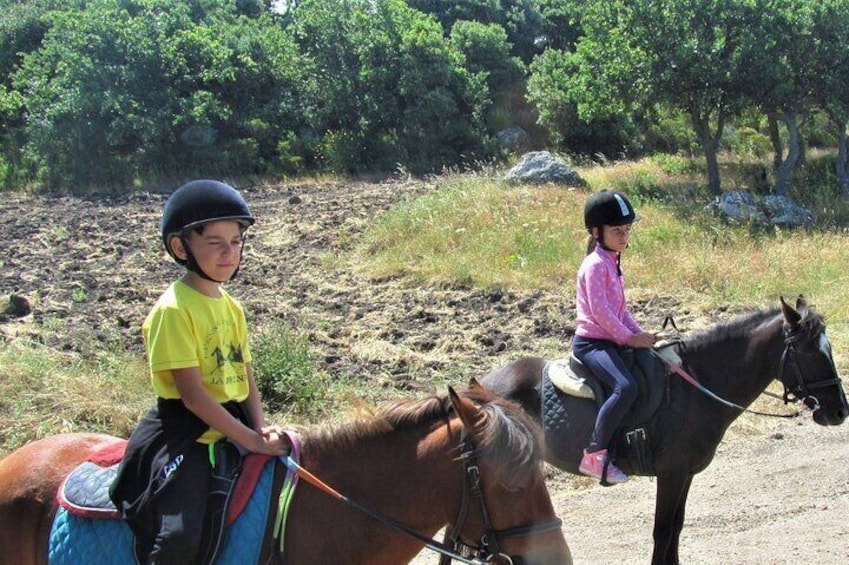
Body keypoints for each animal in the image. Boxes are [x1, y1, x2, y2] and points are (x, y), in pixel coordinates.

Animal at [480, 296, 844, 564]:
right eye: (810, 351)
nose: (840, 411)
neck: (697, 385)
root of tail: (481, 385)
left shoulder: (685, 474)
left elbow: (676, 529)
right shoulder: (671, 474)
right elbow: (662, 531)